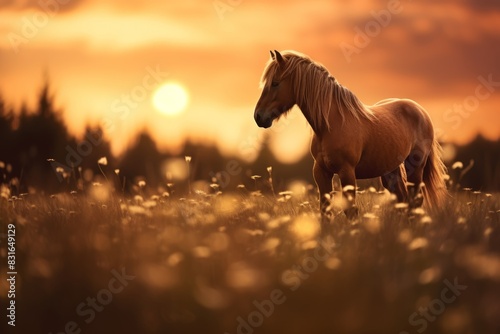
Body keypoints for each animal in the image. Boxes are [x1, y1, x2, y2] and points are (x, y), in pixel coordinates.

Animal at [254, 49, 446, 220]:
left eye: (275, 83)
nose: (258, 116)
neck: (330, 126)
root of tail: (420, 110)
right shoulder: (321, 172)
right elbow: (325, 211)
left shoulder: (347, 172)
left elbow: (351, 211)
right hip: (390, 171)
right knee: (403, 200)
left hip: (416, 167)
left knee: (415, 201)